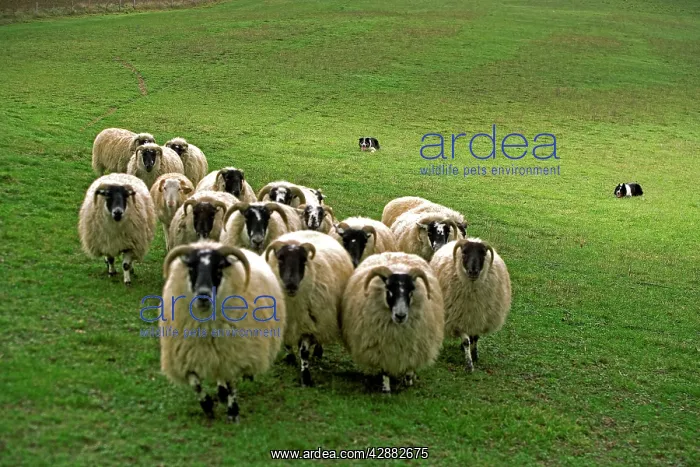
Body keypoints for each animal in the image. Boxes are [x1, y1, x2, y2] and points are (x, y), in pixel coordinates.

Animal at [160, 241, 286, 422]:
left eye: (219, 268)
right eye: (191, 268)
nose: (203, 296)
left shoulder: (232, 353)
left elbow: (232, 383)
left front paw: (233, 412)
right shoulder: (184, 356)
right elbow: (195, 383)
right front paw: (207, 405)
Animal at [264, 230, 354, 387]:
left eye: (303, 261)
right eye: (280, 259)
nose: (291, 285)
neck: (293, 303)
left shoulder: (309, 323)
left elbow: (304, 351)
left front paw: (306, 378)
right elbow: (287, 343)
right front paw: (290, 358)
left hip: (324, 316)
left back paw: (318, 352)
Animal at [340, 252, 444, 393]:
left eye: (411, 292)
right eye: (389, 291)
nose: (400, 316)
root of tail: (397, 253)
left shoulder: (413, 344)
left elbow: (410, 363)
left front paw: (408, 379)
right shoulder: (382, 347)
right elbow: (385, 370)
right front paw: (386, 389)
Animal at [429, 238, 512, 372]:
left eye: (483, 253)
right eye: (464, 253)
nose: (473, 271)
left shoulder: (479, 317)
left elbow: (475, 337)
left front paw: (474, 354)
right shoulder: (458, 318)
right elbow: (466, 341)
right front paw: (469, 365)